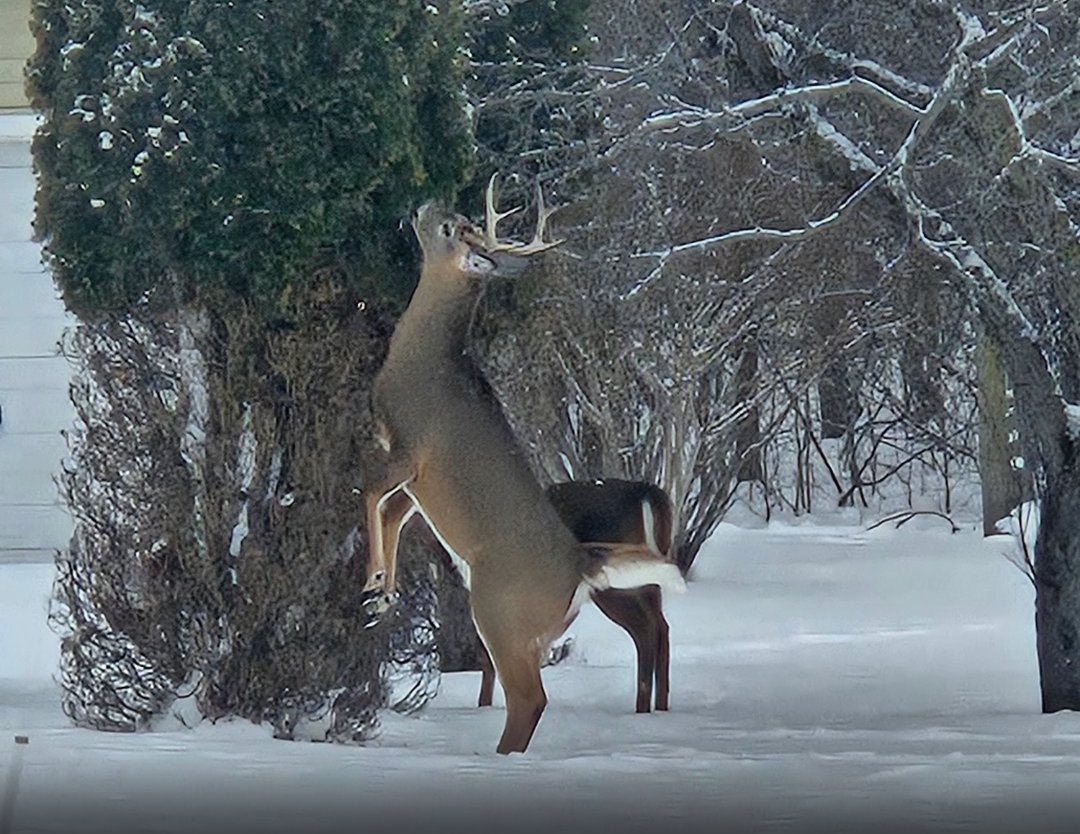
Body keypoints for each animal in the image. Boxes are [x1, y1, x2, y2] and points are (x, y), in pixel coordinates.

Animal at [361, 177, 685, 753]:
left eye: (451, 228)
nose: (424, 205)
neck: (423, 358)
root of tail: (579, 566)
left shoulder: (410, 445)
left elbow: (369, 491)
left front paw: (373, 584)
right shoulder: (419, 480)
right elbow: (394, 513)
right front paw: (380, 591)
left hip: (499, 611)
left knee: (530, 698)